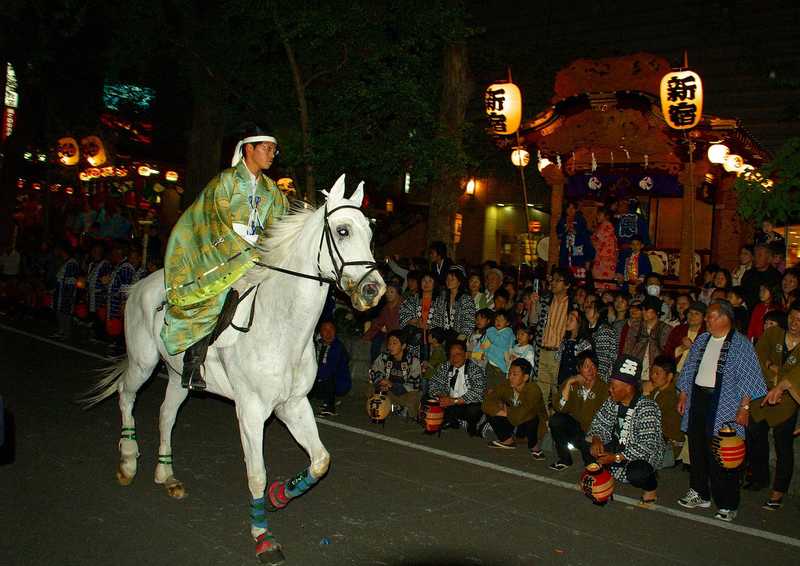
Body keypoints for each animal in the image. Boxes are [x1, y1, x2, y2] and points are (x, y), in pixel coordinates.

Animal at [86, 175, 386, 564]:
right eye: (343, 230)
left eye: (370, 232)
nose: (374, 290)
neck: (282, 327)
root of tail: (140, 283)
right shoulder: (252, 411)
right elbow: (257, 474)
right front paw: (263, 537)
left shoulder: (293, 405)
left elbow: (321, 461)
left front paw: (280, 495)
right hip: (143, 362)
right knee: (126, 396)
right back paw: (127, 462)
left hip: (179, 379)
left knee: (166, 415)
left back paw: (167, 475)